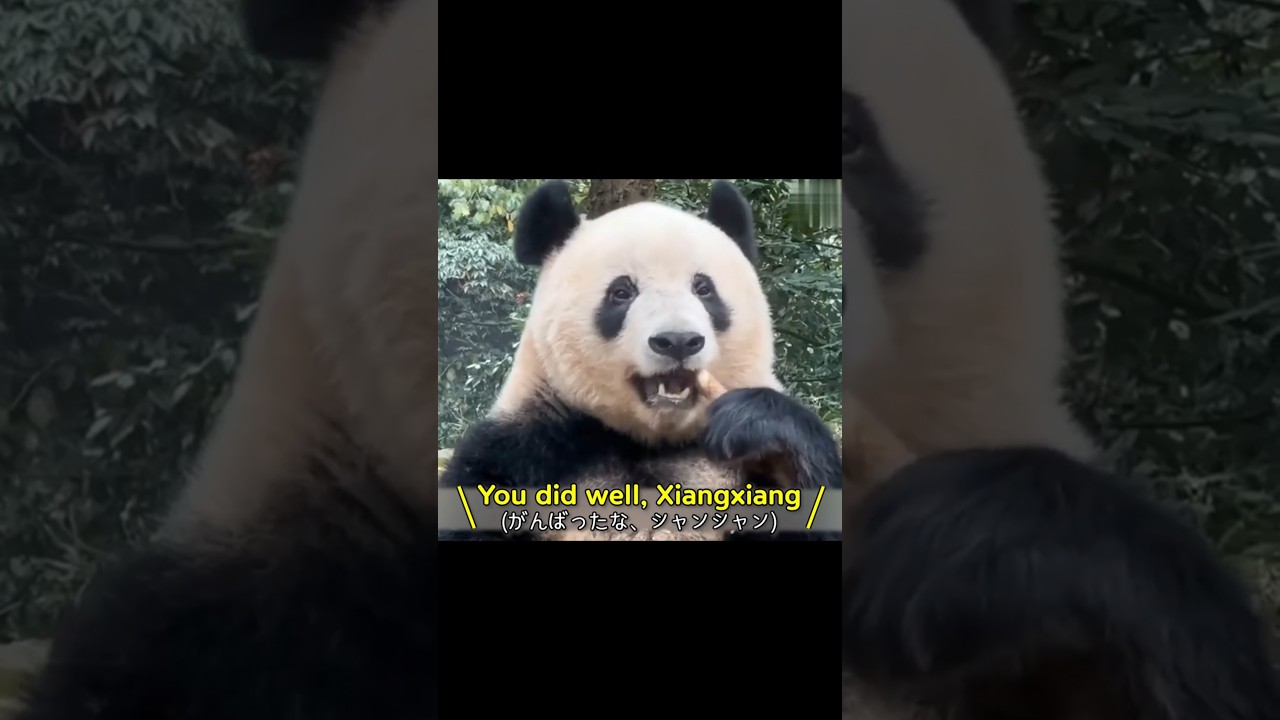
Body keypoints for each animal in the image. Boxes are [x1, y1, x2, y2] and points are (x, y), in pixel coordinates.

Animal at [438, 179, 843, 541]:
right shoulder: (523, 447)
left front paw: (758, 428)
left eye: (704, 289)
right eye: (621, 292)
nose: (678, 341)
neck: (650, 440)